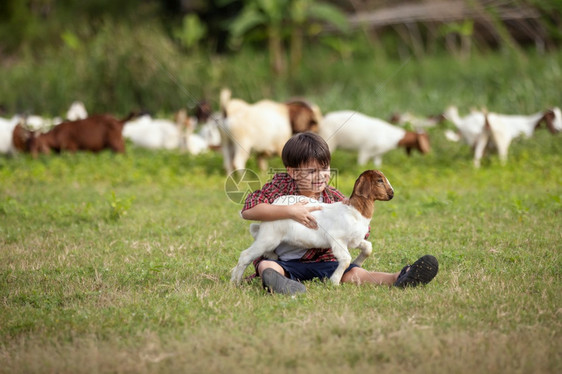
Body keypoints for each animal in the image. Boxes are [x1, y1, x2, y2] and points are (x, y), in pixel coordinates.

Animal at [229, 169, 394, 286]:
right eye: (379, 180)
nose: (392, 194)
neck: (355, 211)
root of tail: (275, 204)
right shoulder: (338, 240)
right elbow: (346, 259)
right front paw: (334, 281)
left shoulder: (354, 240)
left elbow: (368, 247)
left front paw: (357, 263)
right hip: (269, 237)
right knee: (246, 255)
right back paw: (235, 282)